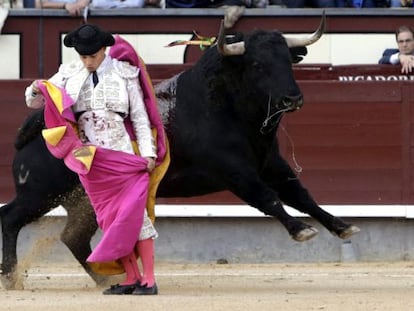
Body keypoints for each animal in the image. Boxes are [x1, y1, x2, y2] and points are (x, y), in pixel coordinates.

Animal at [0, 17, 360, 290]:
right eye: (258, 64)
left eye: (288, 61)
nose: (292, 98)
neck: (228, 109)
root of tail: (34, 131)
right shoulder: (236, 173)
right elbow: (268, 199)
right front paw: (301, 230)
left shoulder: (271, 164)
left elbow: (302, 195)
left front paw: (342, 226)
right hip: (40, 193)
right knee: (10, 218)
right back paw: (11, 279)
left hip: (83, 201)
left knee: (73, 237)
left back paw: (107, 280)